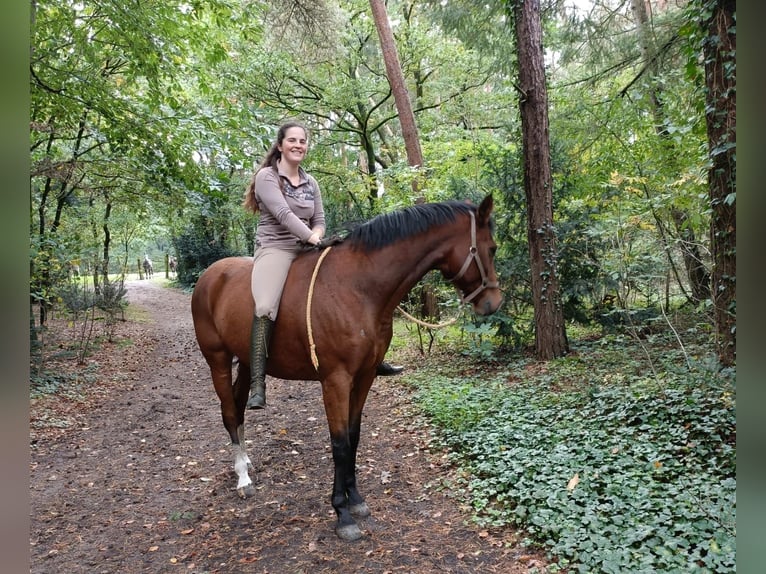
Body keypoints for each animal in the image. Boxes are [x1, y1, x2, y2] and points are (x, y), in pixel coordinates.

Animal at [192, 196, 504, 544]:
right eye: (491, 248)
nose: (493, 302)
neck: (359, 287)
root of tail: (210, 276)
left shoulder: (364, 377)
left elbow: (354, 437)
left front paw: (355, 499)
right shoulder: (335, 381)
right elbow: (340, 444)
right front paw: (341, 513)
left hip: (246, 361)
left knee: (239, 407)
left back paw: (246, 459)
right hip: (217, 360)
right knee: (229, 412)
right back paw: (243, 478)